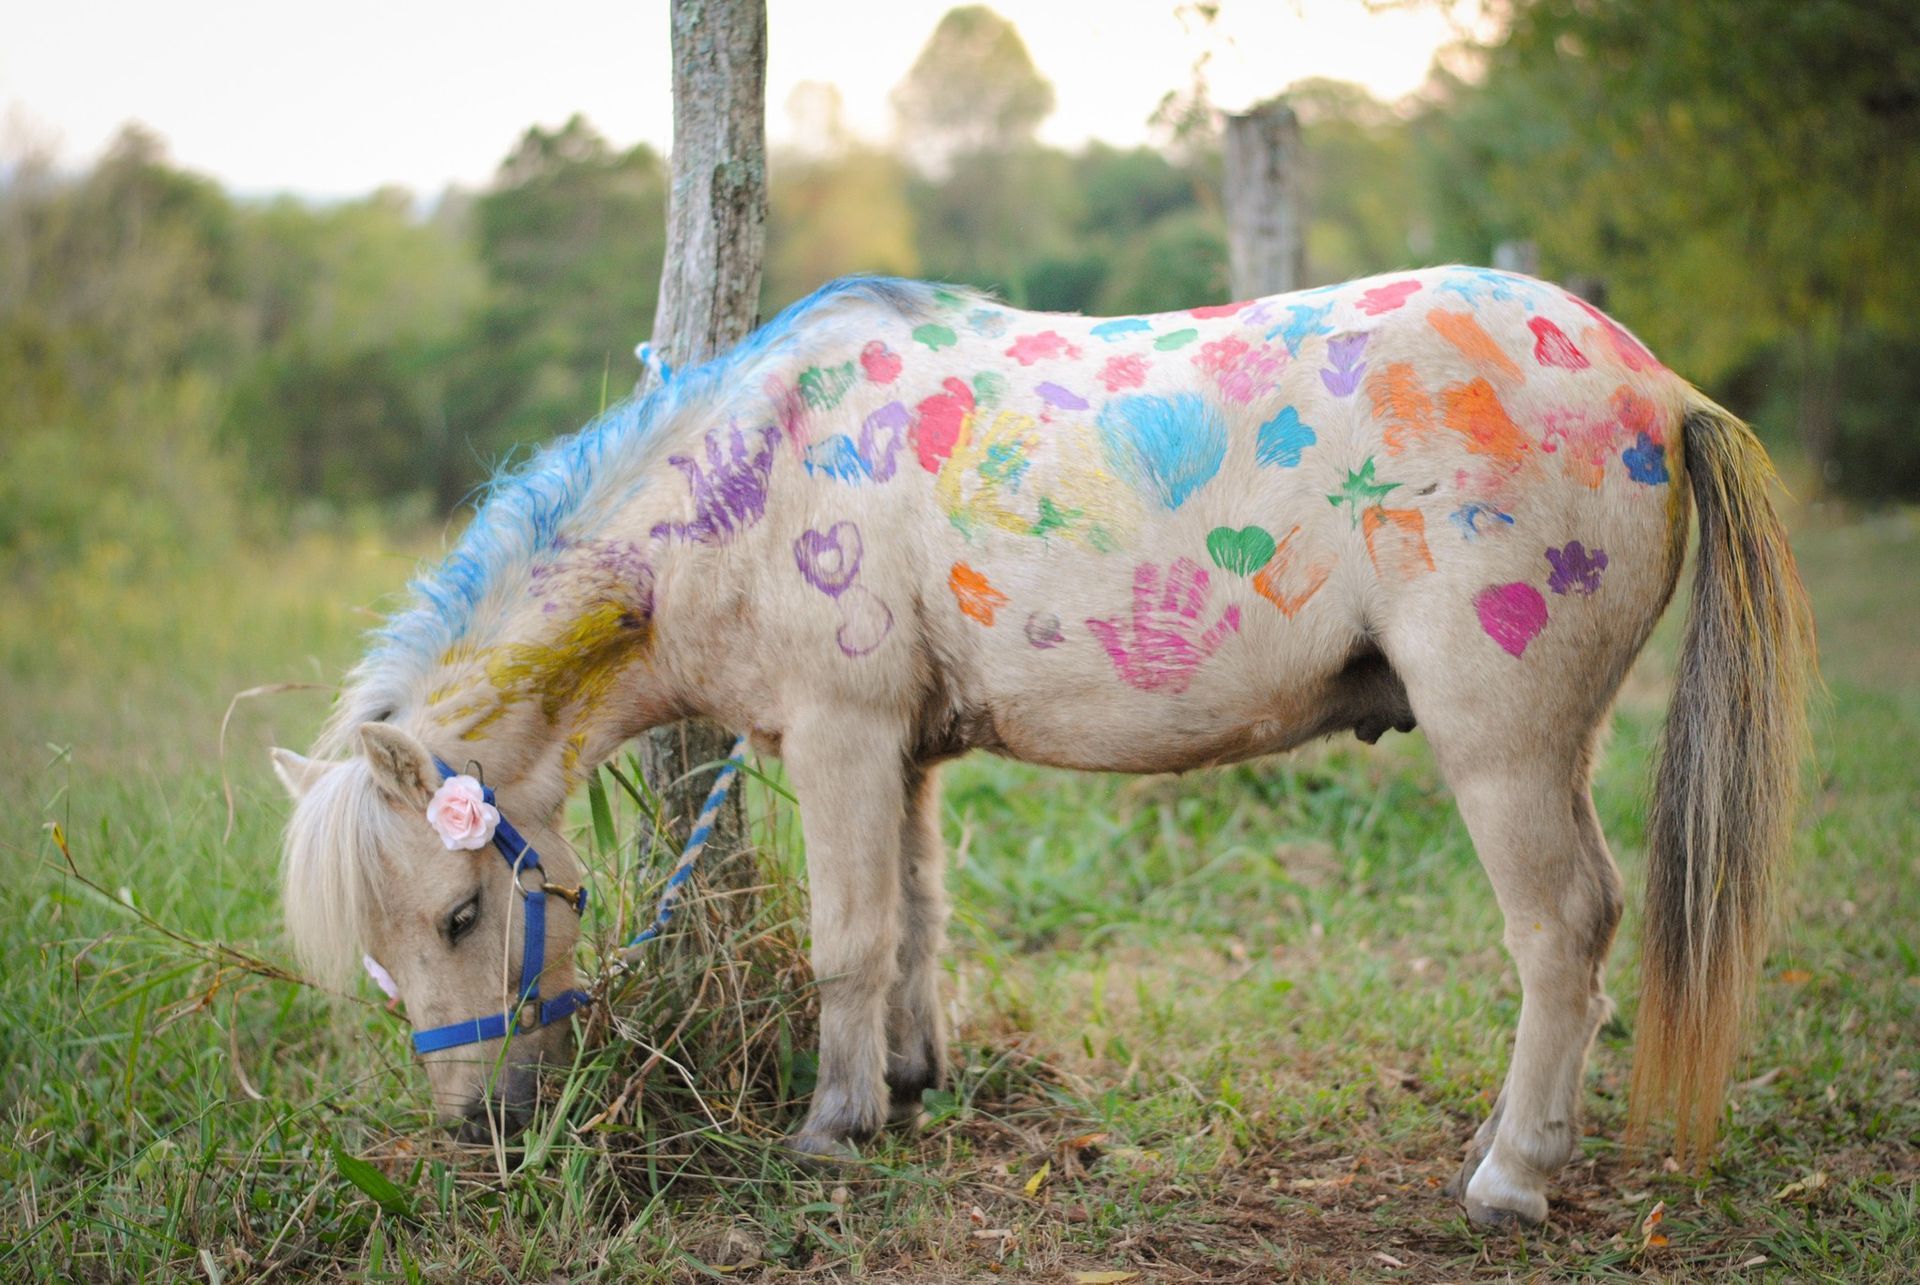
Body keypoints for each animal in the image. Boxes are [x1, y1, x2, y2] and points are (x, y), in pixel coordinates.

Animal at [271, 265, 1813, 1227]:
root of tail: (1657, 385)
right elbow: (914, 922)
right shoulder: (903, 754)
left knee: (1562, 934)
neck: (752, 484)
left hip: (1505, 747)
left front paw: (833, 1126)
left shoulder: (840, 736)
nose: (474, 1124)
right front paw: (904, 1083)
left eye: (459, 912)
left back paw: (1510, 1177)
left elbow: (848, 937)